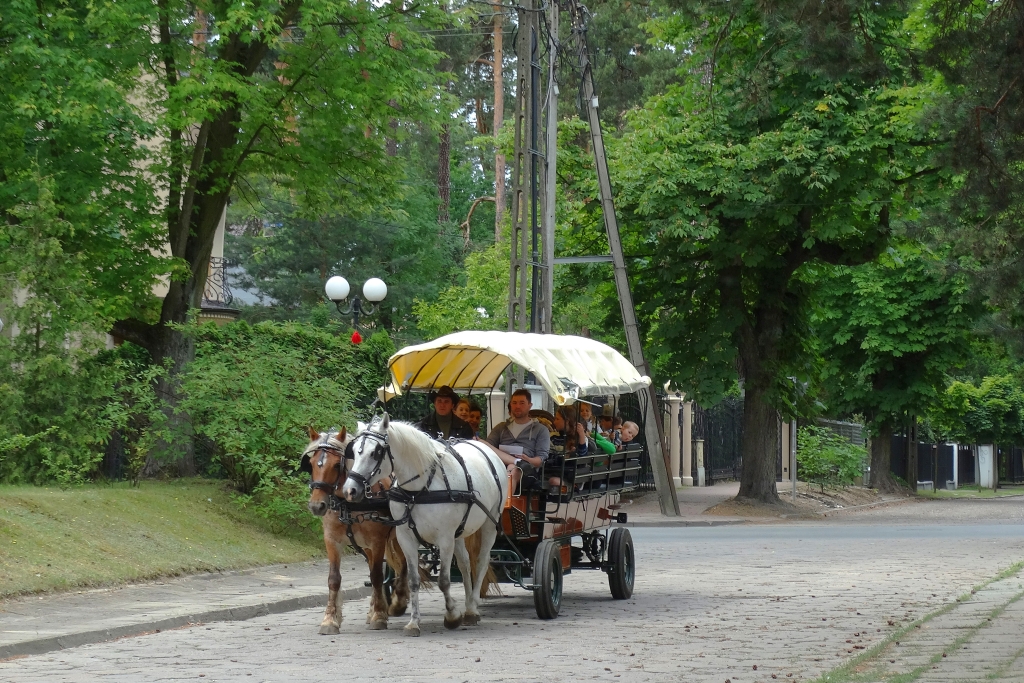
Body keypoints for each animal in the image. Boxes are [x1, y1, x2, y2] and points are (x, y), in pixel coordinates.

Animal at [299, 430, 409, 634]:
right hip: (367, 547)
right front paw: (330, 620)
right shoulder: (332, 540)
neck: (348, 504)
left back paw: (398, 602)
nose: (317, 506)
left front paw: (380, 616)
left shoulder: (377, 541)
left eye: (336, 464)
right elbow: (334, 579)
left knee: (404, 566)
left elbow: (377, 576)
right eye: (311, 464)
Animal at [342, 413, 505, 638]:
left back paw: (472, 609)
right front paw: (413, 623)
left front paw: (452, 616)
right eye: (354, 451)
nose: (350, 490)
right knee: (464, 563)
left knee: (481, 562)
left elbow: (444, 580)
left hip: (490, 523)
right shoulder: (406, 538)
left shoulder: (444, 539)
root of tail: (485, 448)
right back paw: (468, 604)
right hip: (459, 532)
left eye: (375, 452)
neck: (418, 491)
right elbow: (413, 580)